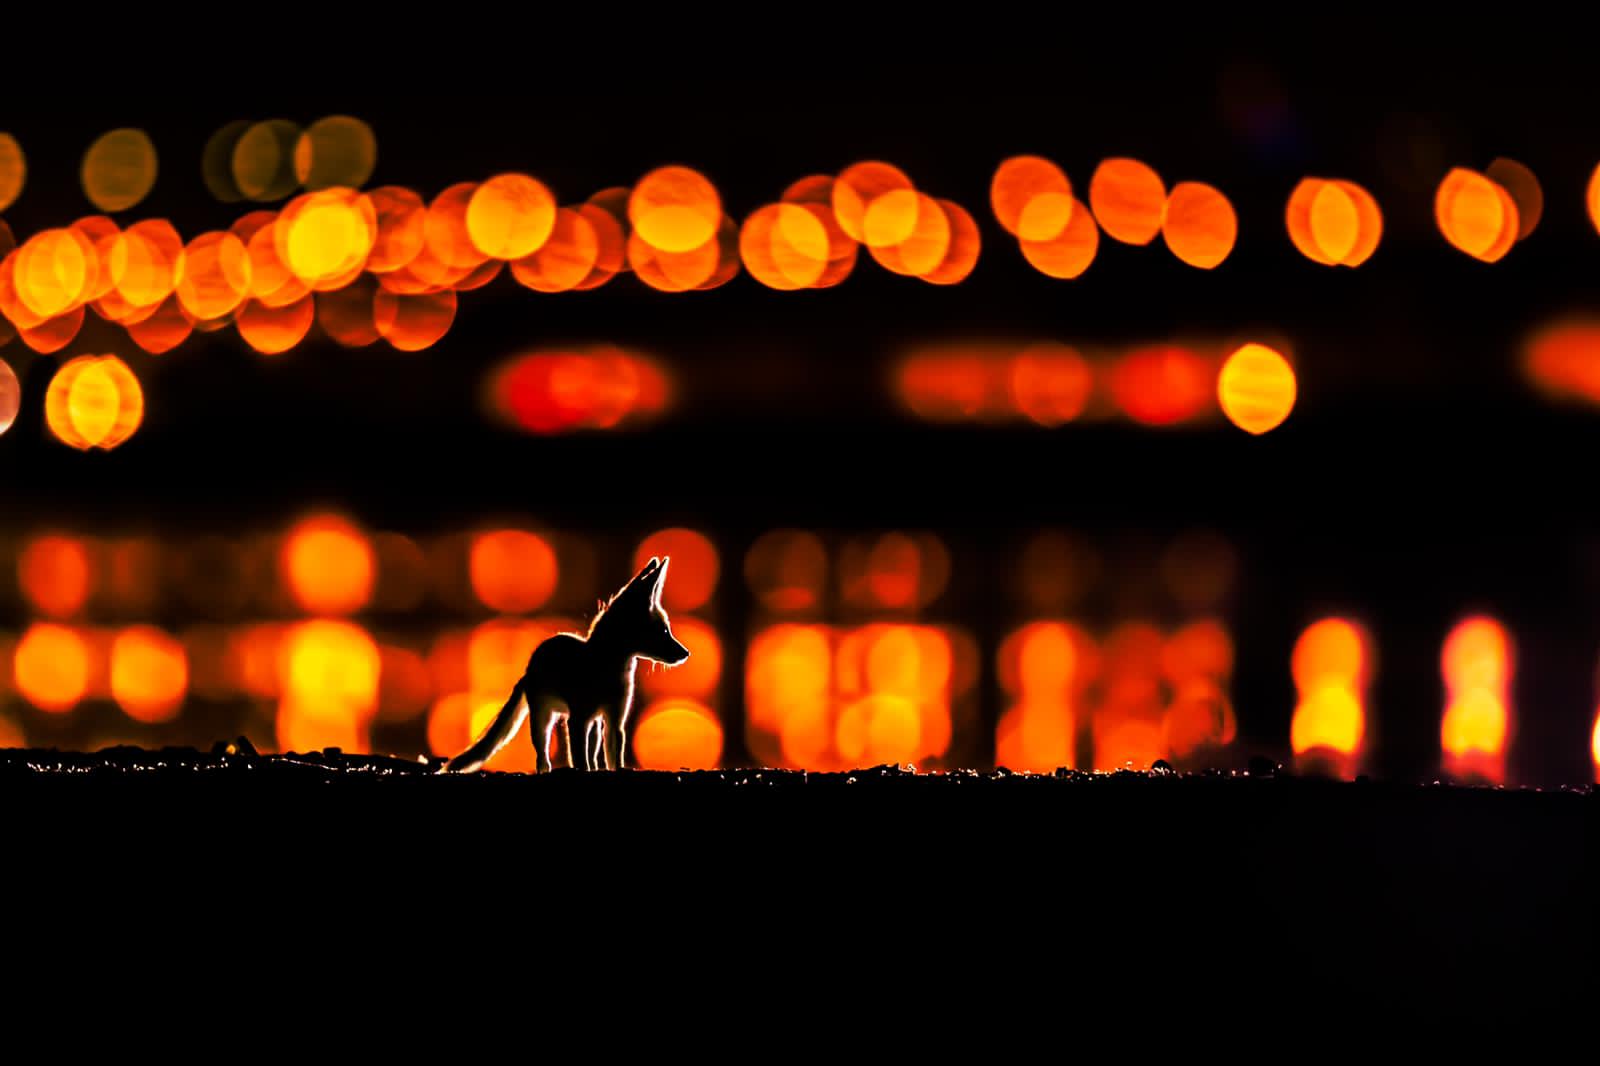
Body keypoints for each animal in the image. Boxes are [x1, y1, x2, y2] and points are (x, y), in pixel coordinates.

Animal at [441, 556, 690, 773]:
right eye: (664, 631)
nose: (686, 653)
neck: (607, 670)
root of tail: (529, 668)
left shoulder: (614, 719)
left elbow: (613, 758)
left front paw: (612, 768)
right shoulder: (579, 718)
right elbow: (580, 759)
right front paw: (583, 769)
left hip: (594, 723)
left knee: (592, 750)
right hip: (544, 720)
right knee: (543, 758)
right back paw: (547, 768)